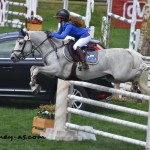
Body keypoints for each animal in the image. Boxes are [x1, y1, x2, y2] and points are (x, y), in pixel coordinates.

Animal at [9, 29, 149, 94]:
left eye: (20, 42)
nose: (13, 58)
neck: (52, 48)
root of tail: (128, 52)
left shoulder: (55, 70)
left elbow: (36, 69)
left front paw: (34, 86)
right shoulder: (51, 72)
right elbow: (33, 68)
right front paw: (34, 86)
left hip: (121, 74)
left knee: (137, 71)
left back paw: (144, 68)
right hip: (113, 77)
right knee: (132, 78)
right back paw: (134, 87)